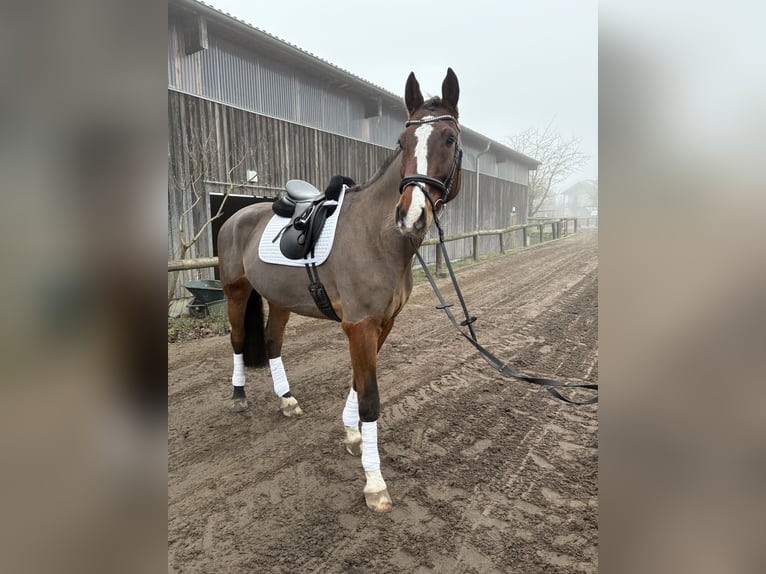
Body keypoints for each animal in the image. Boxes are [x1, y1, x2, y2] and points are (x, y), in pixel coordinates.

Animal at [219, 68, 464, 512]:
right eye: (402, 143)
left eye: (449, 139)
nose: (410, 216)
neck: (377, 235)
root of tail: (237, 215)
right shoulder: (360, 325)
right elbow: (370, 398)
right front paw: (374, 483)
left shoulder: (382, 323)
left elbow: (357, 382)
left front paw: (351, 435)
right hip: (236, 291)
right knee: (238, 339)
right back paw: (239, 396)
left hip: (280, 299)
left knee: (273, 342)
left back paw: (287, 400)